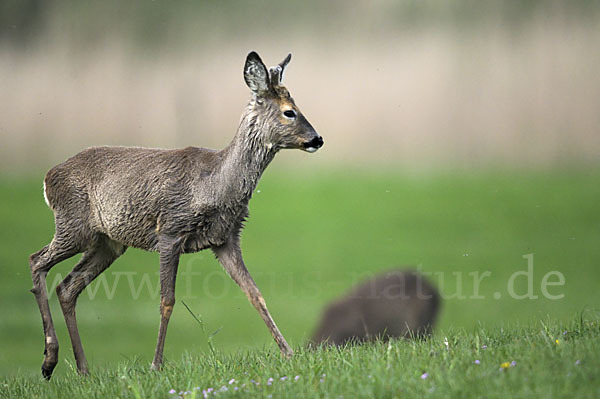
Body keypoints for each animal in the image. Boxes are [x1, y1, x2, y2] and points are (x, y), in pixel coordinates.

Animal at [28, 51, 324, 380]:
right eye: (289, 112)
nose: (317, 139)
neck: (215, 184)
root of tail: (47, 178)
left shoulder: (226, 239)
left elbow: (254, 293)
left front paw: (288, 352)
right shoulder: (170, 230)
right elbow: (166, 300)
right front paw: (156, 364)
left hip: (107, 243)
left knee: (67, 287)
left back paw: (83, 369)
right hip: (73, 226)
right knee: (37, 261)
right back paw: (49, 361)